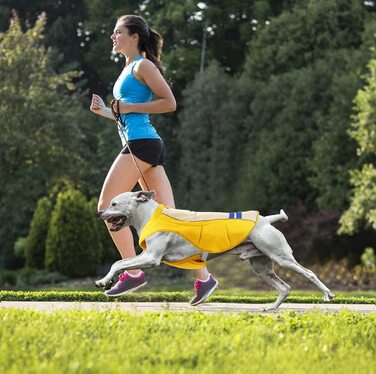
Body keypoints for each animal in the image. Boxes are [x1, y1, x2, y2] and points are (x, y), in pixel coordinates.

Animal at [95, 190, 336, 310]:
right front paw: (106, 281)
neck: (148, 215)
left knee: (309, 273)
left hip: (281, 257)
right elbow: (121, 262)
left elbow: (118, 262)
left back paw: (328, 293)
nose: (99, 214)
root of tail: (266, 219)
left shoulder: (151, 257)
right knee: (285, 287)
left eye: (114, 204)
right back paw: (270, 308)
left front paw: (103, 280)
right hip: (262, 268)